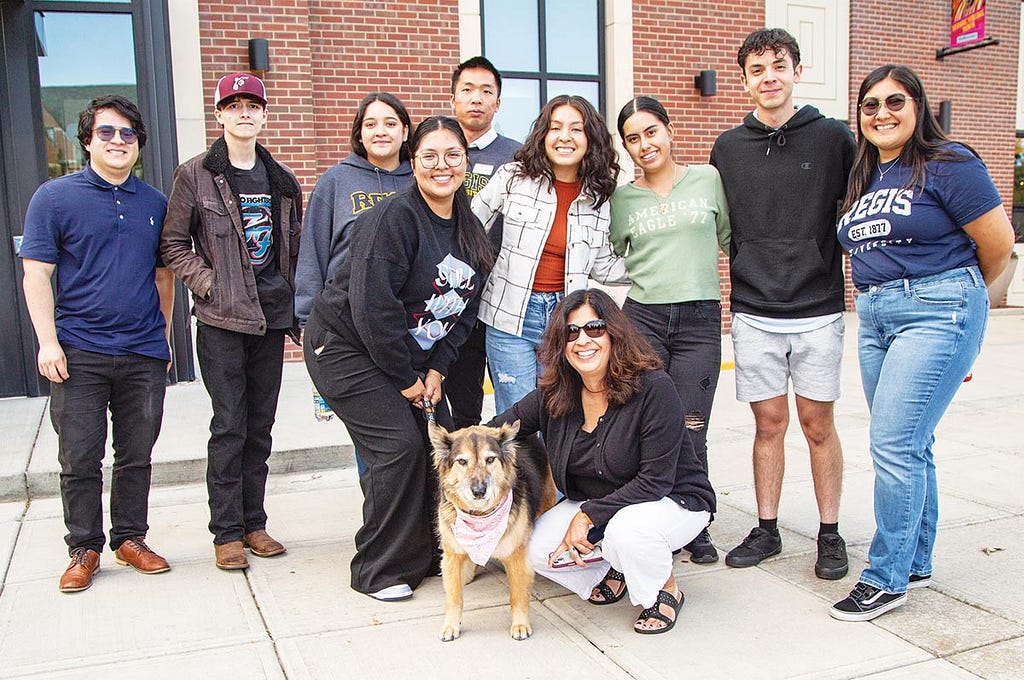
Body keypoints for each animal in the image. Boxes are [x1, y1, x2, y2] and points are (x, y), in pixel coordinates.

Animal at [432, 419, 561, 643]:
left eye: (490, 459)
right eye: (462, 461)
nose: (479, 491)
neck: (480, 515)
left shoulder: (516, 555)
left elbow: (517, 595)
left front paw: (520, 625)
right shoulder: (452, 556)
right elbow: (454, 597)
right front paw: (450, 626)